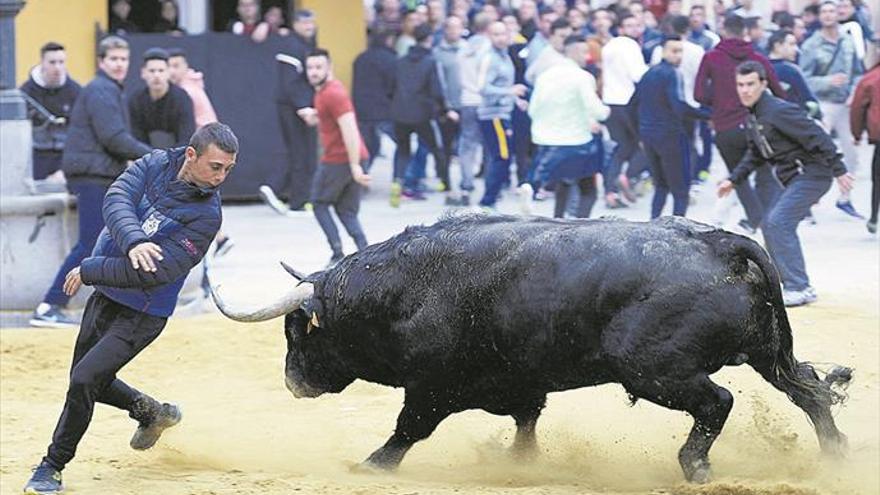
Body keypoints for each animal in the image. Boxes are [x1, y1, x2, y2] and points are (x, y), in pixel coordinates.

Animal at [210, 215, 848, 482]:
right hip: (764, 352)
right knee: (810, 389)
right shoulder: (521, 383)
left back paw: (695, 466)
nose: (293, 381)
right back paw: (835, 454)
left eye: (299, 330)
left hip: (652, 370)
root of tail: (721, 243)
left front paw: (370, 464)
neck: (406, 288)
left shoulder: (432, 387)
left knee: (718, 403)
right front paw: (521, 464)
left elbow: (409, 429)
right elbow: (526, 422)